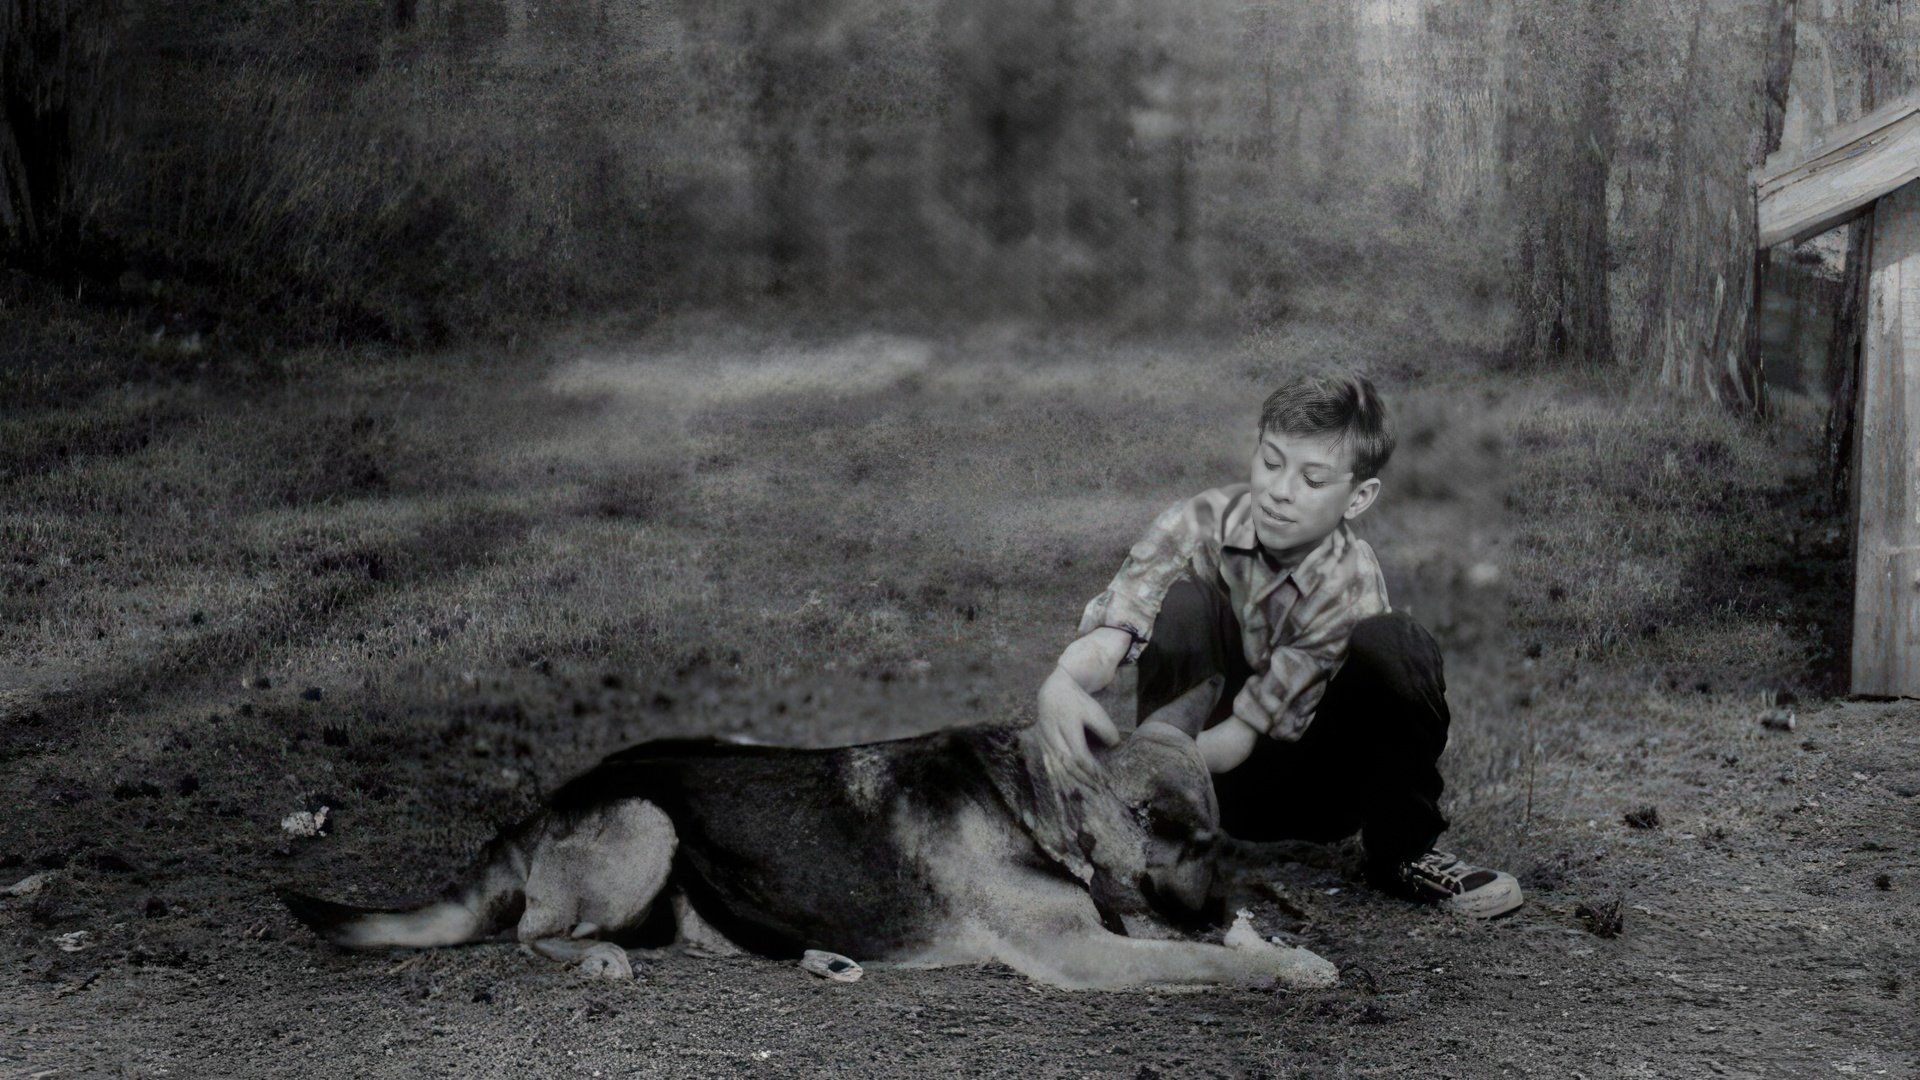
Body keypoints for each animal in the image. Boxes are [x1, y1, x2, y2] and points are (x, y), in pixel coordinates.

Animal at [278, 676, 1336, 991]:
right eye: (1164, 827)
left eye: (1216, 838)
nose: (1218, 904)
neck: (1028, 803)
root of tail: (545, 804)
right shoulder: (1084, 951)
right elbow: (1199, 963)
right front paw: (1277, 965)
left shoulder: (1113, 922)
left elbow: (1191, 944)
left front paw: (1271, 943)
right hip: (647, 822)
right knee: (537, 931)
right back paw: (600, 958)